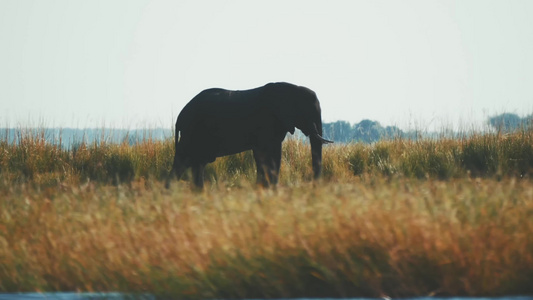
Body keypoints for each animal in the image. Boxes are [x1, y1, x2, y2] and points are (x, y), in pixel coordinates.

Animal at [166, 82, 332, 190]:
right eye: (307, 112)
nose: (314, 186)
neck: (291, 88)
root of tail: (180, 117)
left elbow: (266, 155)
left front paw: (264, 188)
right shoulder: (267, 122)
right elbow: (268, 154)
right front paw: (270, 189)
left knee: (196, 164)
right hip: (192, 132)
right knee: (184, 161)